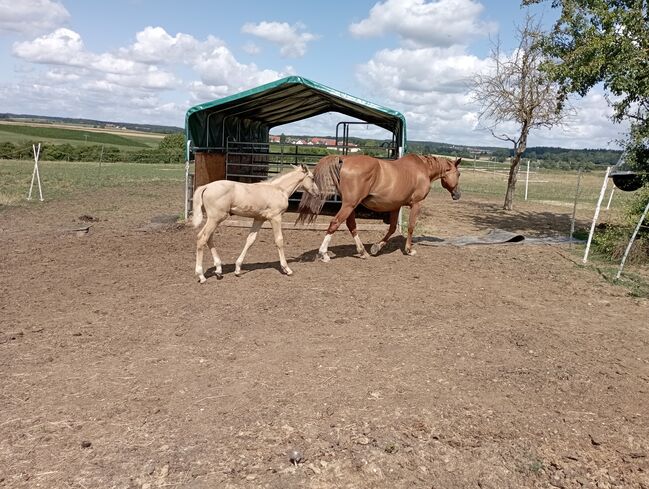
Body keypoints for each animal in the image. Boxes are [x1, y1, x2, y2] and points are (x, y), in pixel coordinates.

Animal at [298, 153, 460, 262]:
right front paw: (409, 250)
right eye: (458, 174)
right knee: (335, 223)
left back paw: (363, 252)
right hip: (349, 204)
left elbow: (392, 228)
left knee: (351, 225)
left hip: (351, 205)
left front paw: (377, 247)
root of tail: (345, 159)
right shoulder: (416, 204)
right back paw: (324, 254)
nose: (457, 195)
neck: (422, 169)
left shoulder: (396, 206)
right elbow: (411, 227)